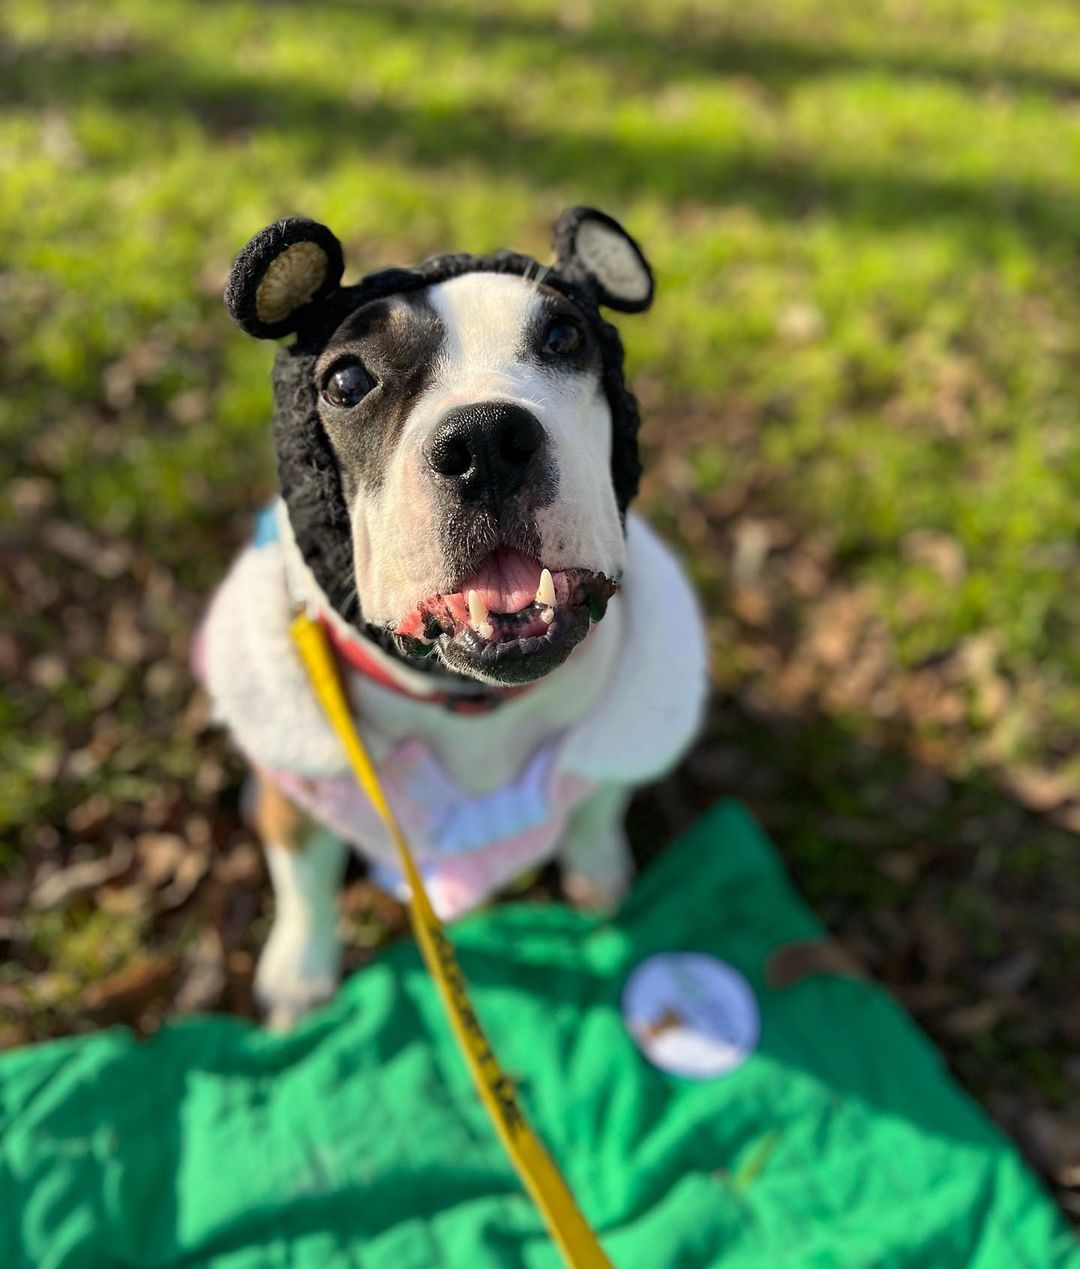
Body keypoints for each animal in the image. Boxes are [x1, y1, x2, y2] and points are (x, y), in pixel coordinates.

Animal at [196, 203, 710, 1025]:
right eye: (346, 380)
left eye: (564, 337)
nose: (485, 440)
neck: (469, 700)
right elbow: (305, 873)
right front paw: (301, 972)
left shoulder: (616, 731)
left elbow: (598, 799)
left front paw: (599, 868)